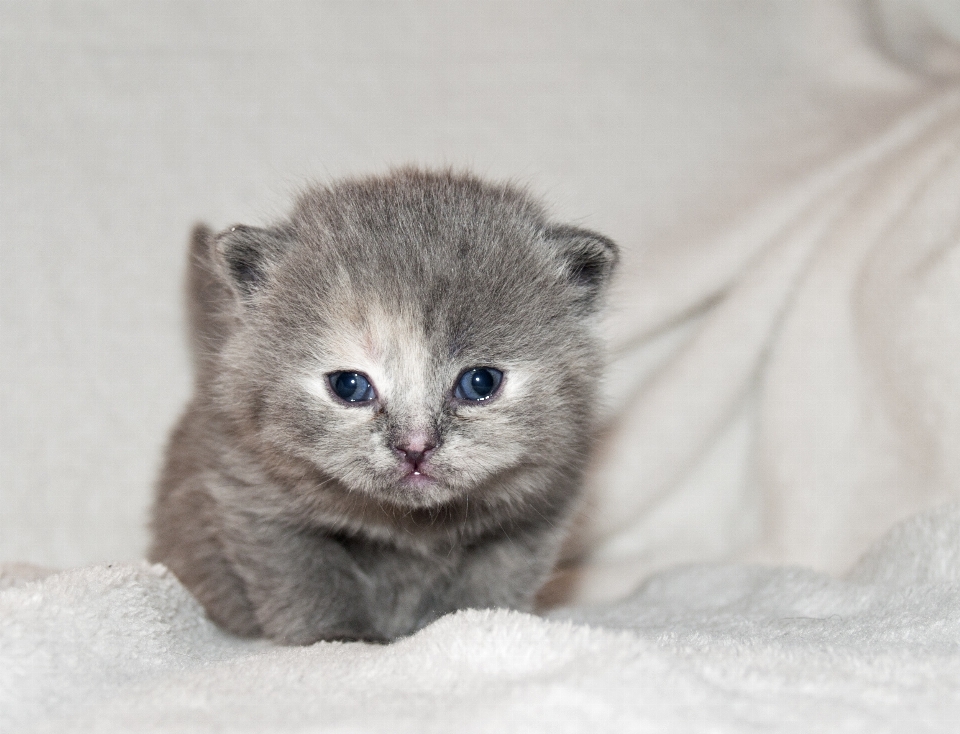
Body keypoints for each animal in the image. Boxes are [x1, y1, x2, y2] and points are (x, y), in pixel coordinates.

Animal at [147, 168, 620, 644]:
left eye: (480, 382)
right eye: (350, 386)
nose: (415, 447)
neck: (412, 525)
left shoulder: (535, 513)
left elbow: (491, 582)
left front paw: (474, 624)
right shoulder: (252, 498)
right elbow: (310, 580)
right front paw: (343, 637)